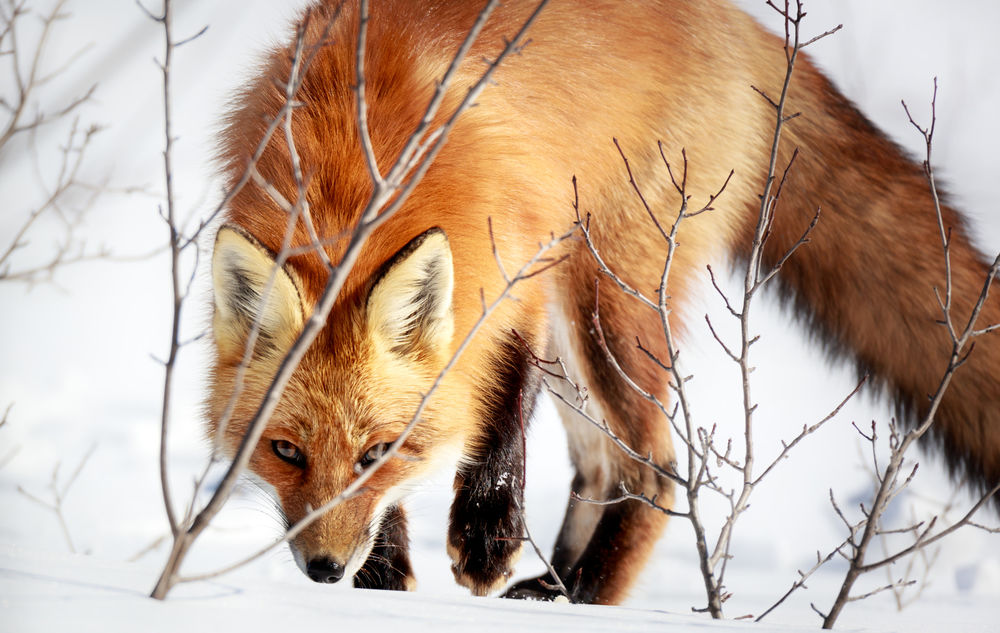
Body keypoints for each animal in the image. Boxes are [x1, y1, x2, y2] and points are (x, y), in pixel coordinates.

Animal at [206, 0, 1000, 605]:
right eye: (284, 451)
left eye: (374, 451)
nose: (324, 570)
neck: (356, 168)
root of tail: (745, 25)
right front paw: (384, 573)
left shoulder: (521, 259)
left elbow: (497, 408)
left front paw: (486, 533)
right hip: (583, 337)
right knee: (598, 467)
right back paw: (555, 584)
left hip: (603, 298)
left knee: (658, 469)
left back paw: (588, 594)